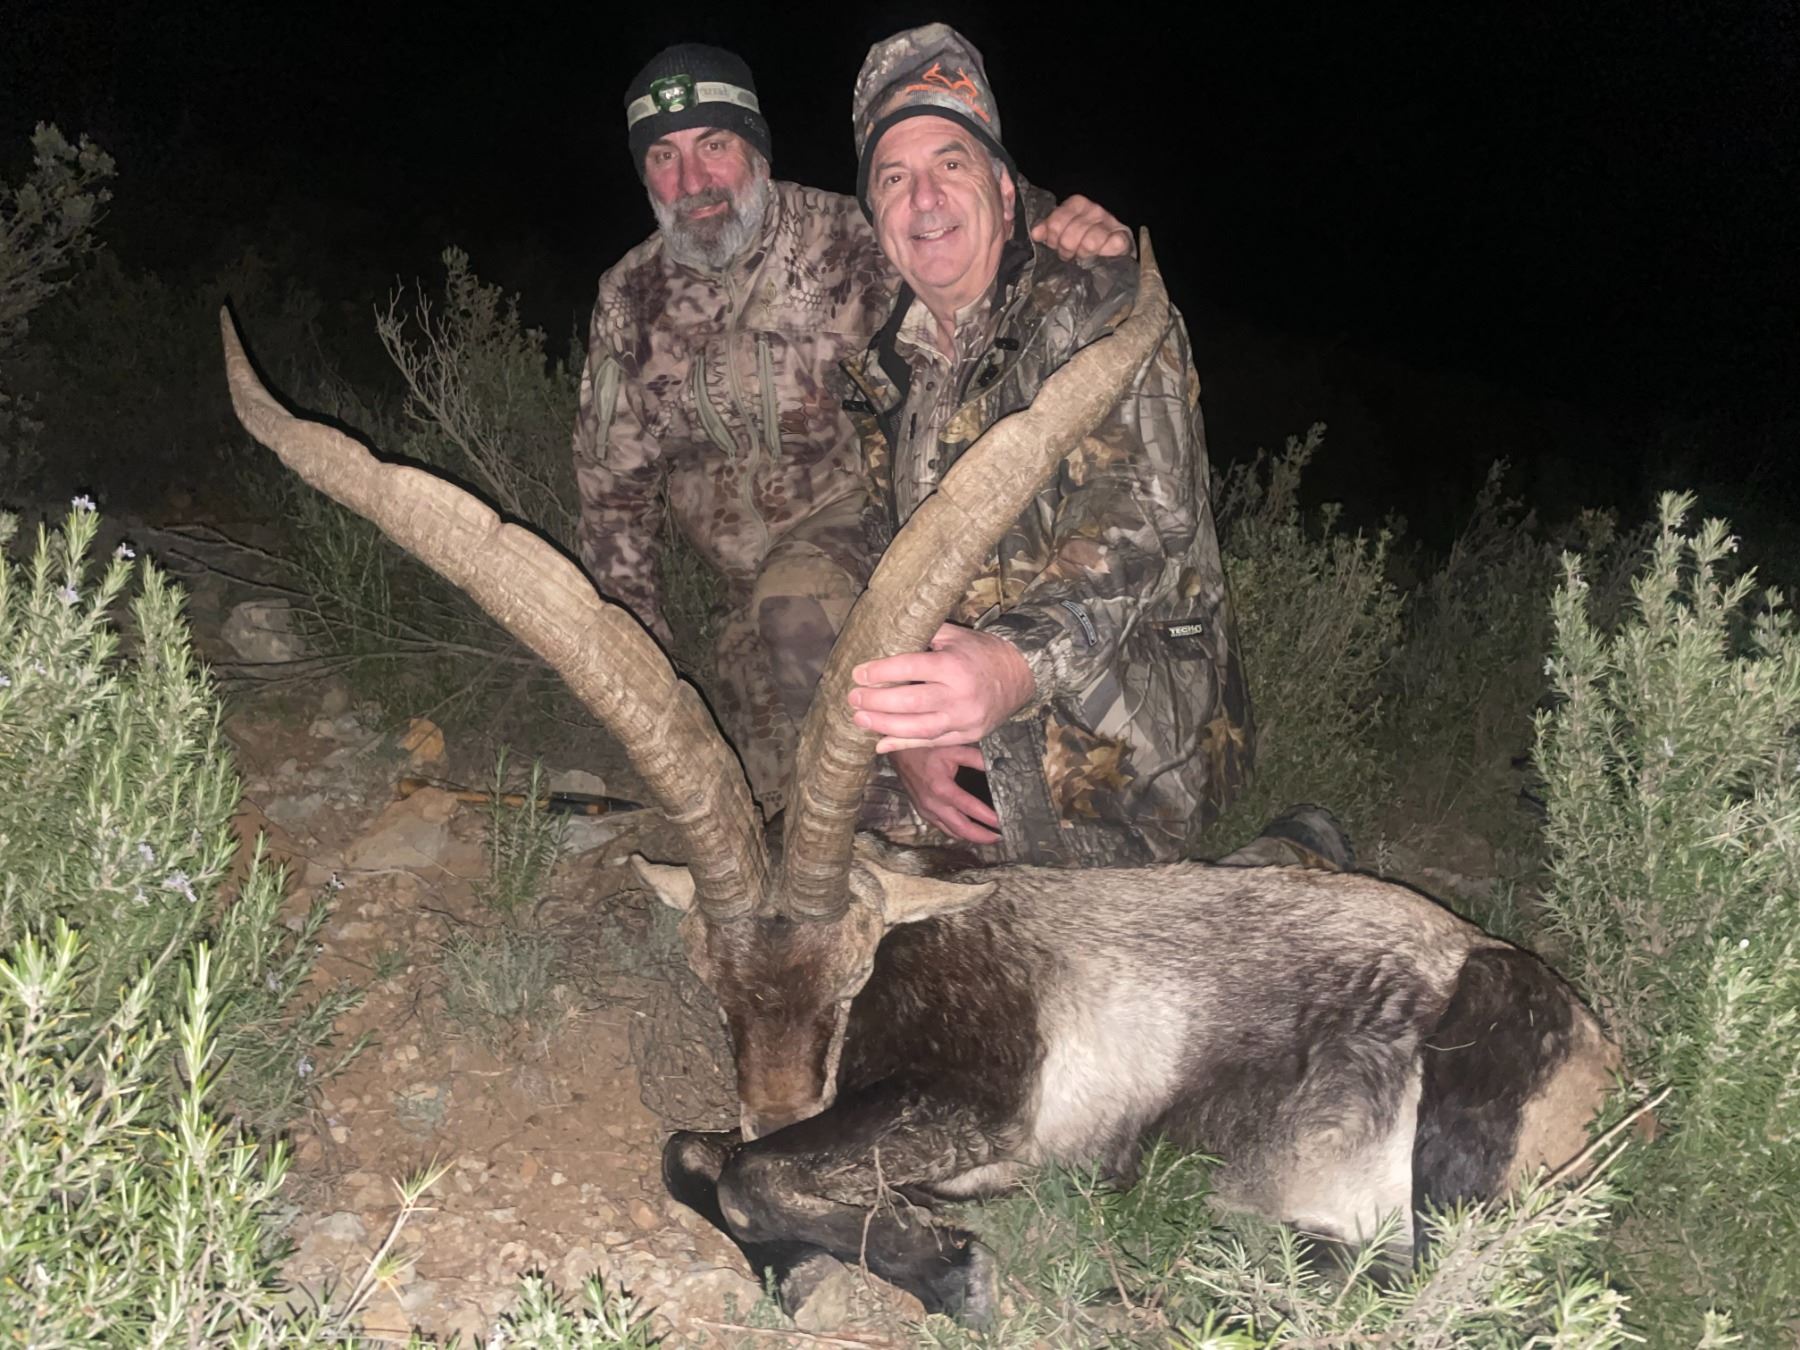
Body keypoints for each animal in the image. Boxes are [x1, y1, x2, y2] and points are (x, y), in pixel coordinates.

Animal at [219, 234, 1620, 1326]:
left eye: (851, 979)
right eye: (713, 985)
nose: (783, 1100)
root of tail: (1602, 1059)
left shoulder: (978, 1098)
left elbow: (750, 1178)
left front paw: (947, 1267)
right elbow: (691, 1151)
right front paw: (834, 1252)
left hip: (1456, 1137)